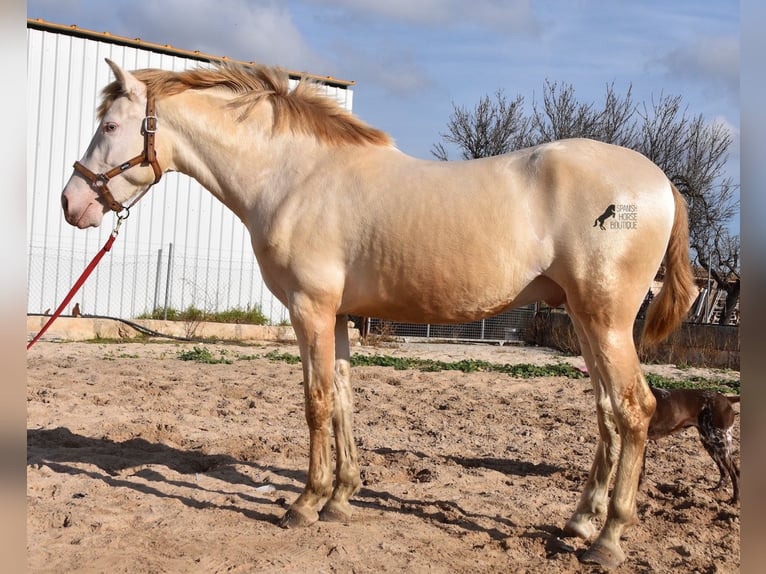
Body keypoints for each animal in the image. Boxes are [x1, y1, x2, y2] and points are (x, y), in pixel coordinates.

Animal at [60, 59, 696, 572]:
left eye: (109, 127)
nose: (72, 203)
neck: (294, 176)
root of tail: (661, 182)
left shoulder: (310, 310)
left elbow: (316, 402)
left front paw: (305, 503)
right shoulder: (338, 316)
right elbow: (342, 397)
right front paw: (341, 499)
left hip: (606, 320)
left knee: (635, 410)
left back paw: (608, 539)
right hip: (587, 323)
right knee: (608, 413)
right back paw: (580, 521)